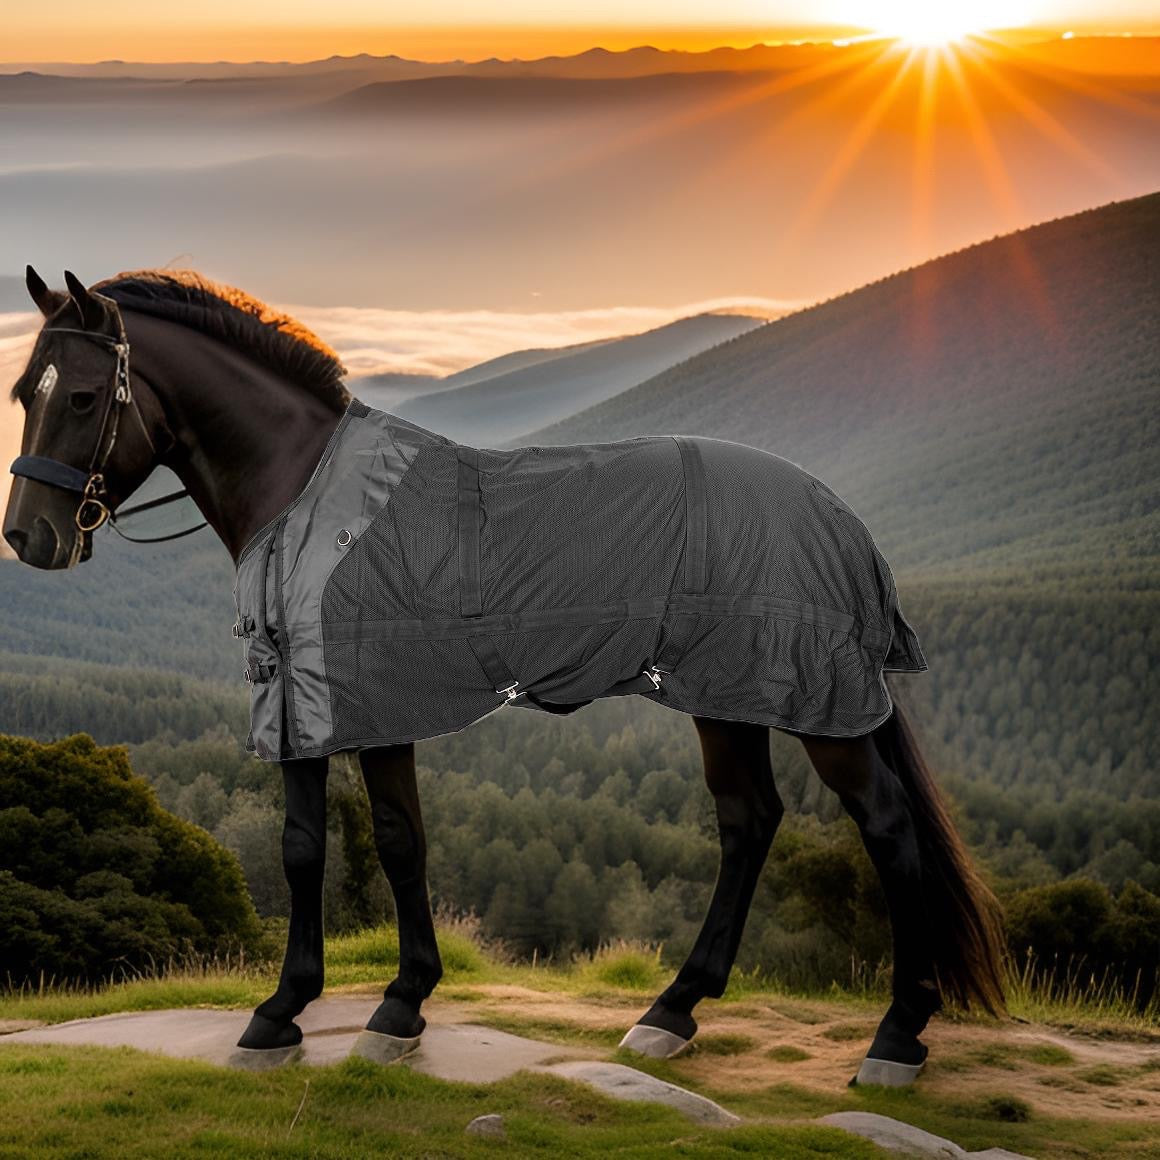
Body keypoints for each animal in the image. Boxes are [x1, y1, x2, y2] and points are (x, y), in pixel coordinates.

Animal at [2, 266, 1006, 1081]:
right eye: (22, 390)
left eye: (84, 396)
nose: (29, 537)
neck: (302, 492)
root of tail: (837, 514)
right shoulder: (298, 700)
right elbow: (302, 849)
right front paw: (282, 1013)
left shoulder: (372, 701)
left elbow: (398, 843)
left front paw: (398, 1008)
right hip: (725, 697)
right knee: (747, 822)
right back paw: (672, 1012)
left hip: (812, 700)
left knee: (886, 829)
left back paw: (897, 1035)